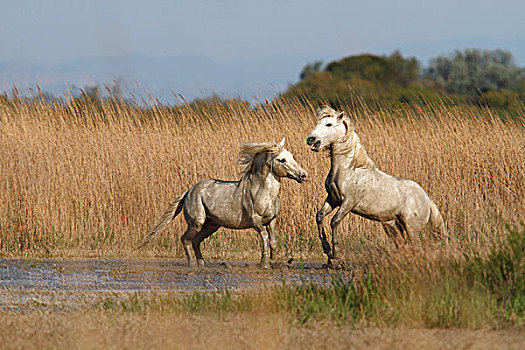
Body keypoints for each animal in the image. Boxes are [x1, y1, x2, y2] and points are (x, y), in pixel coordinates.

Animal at [139, 139, 308, 268]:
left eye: (291, 156)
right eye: (281, 160)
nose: (303, 175)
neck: (263, 192)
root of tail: (188, 191)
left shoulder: (271, 220)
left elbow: (272, 241)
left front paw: (273, 262)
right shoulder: (256, 221)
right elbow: (265, 237)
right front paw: (264, 263)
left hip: (212, 225)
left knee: (196, 241)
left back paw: (202, 265)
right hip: (197, 223)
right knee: (185, 239)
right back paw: (192, 265)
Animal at [304, 106, 444, 268]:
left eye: (329, 124)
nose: (311, 139)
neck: (347, 170)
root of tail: (427, 199)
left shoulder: (348, 202)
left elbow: (334, 221)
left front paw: (335, 255)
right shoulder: (333, 199)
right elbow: (319, 216)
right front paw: (327, 251)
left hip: (411, 227)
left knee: (417, 246)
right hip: (393, 226)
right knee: (403, 246)